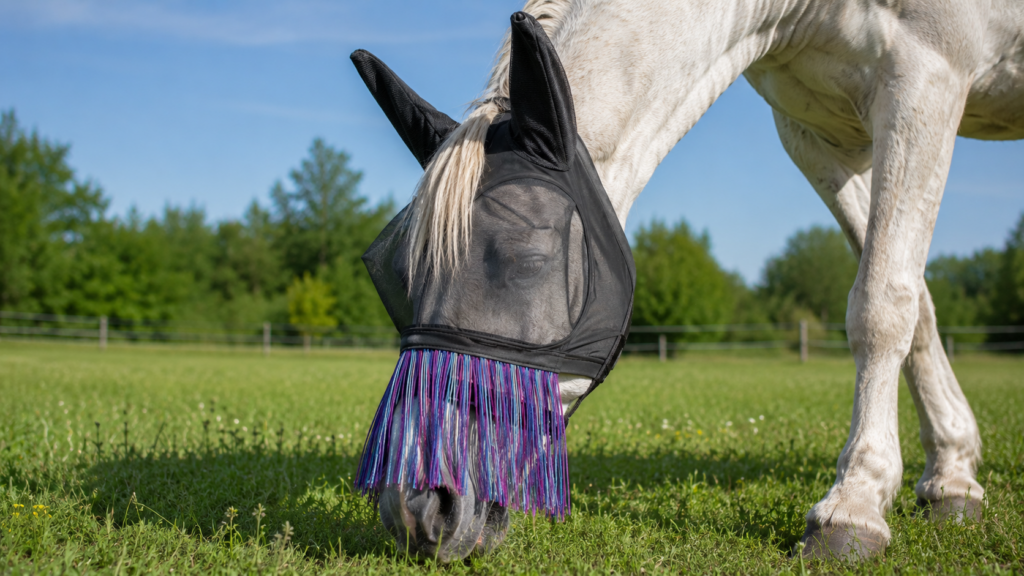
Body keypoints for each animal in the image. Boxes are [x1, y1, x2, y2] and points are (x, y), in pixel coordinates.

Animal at [353, 0, 1024, 562]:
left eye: (529, 260)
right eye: (394, 276)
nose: (416, 507)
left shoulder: (925, 75)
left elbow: (882, 302)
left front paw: (855, 505)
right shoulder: (814, 135)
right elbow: (916, 300)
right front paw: (952, 474)